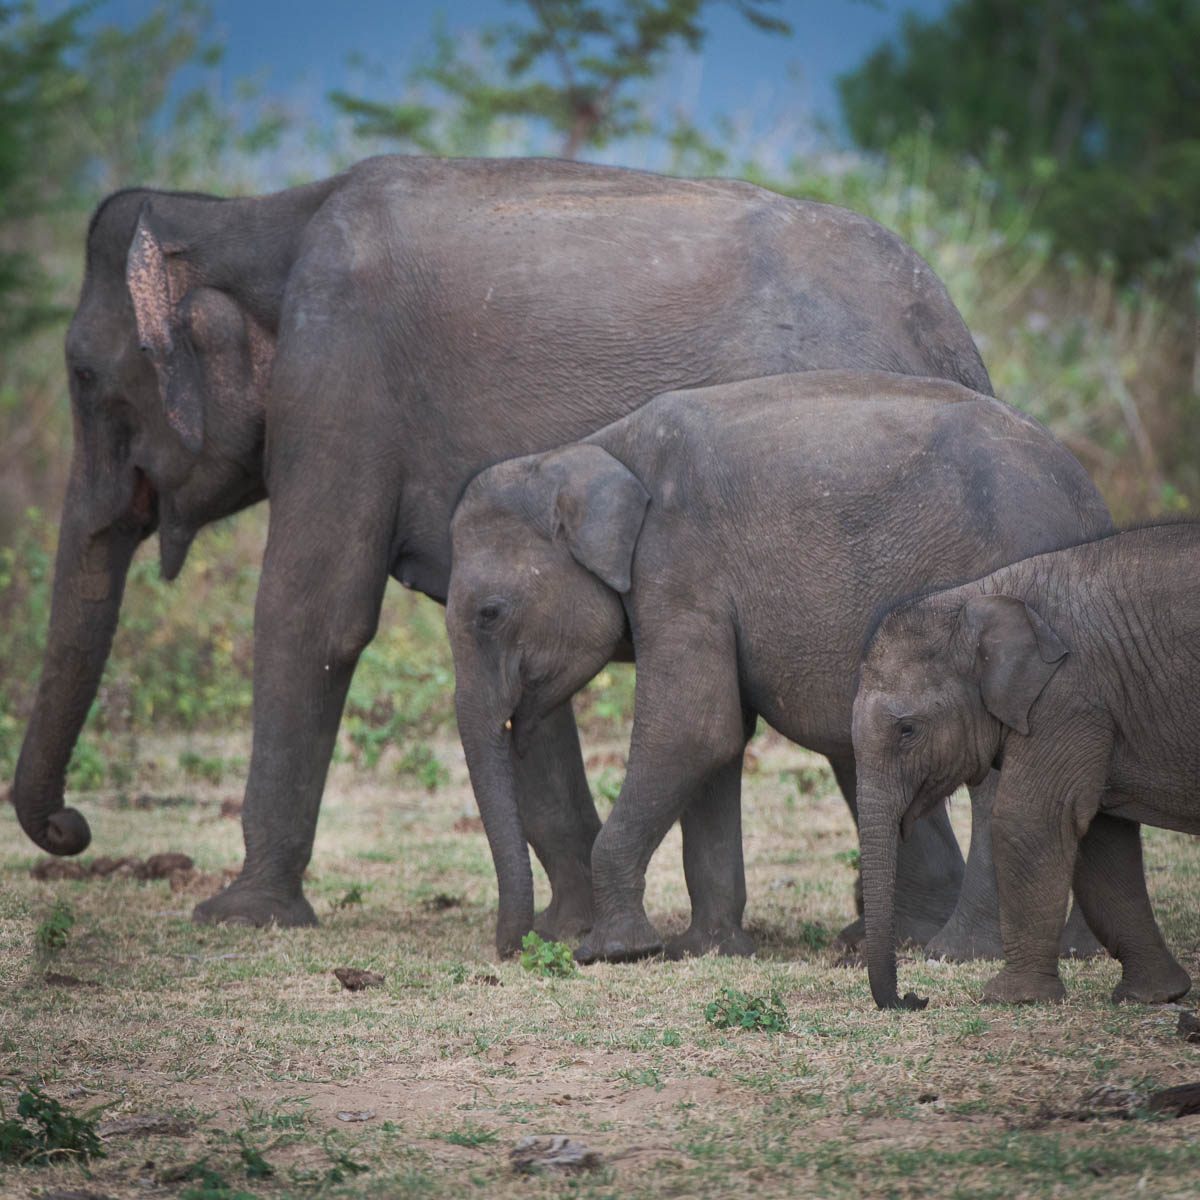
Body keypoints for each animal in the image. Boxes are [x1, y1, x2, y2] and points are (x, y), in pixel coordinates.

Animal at [11, 157, 1003, 945]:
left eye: (85, 378)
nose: (71, 828)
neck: (250, 215)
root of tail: (954, 335)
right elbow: (532, 684)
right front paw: (566, 930)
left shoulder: (336, 375)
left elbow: (314, 614)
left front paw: (238, 918)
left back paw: (908, 937)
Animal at [446, 369, 1108, 960]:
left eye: (489, 614)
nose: (514, 948)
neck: (590, 451)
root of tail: (1090, 501)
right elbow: (719, 741)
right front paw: (709, 950)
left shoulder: (678, 569)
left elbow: (692, 728)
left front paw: (611, 952)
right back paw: (1079, 951)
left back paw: (958, 953)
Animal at [849, 520, 1195, 1008]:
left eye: (907, 731)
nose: (916, 998)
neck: (978, 595)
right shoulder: (1095, 712)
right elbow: (1103, 844)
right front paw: (1152, 996)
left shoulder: (1068, 697)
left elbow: (1029, 821)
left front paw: (1010, 998)